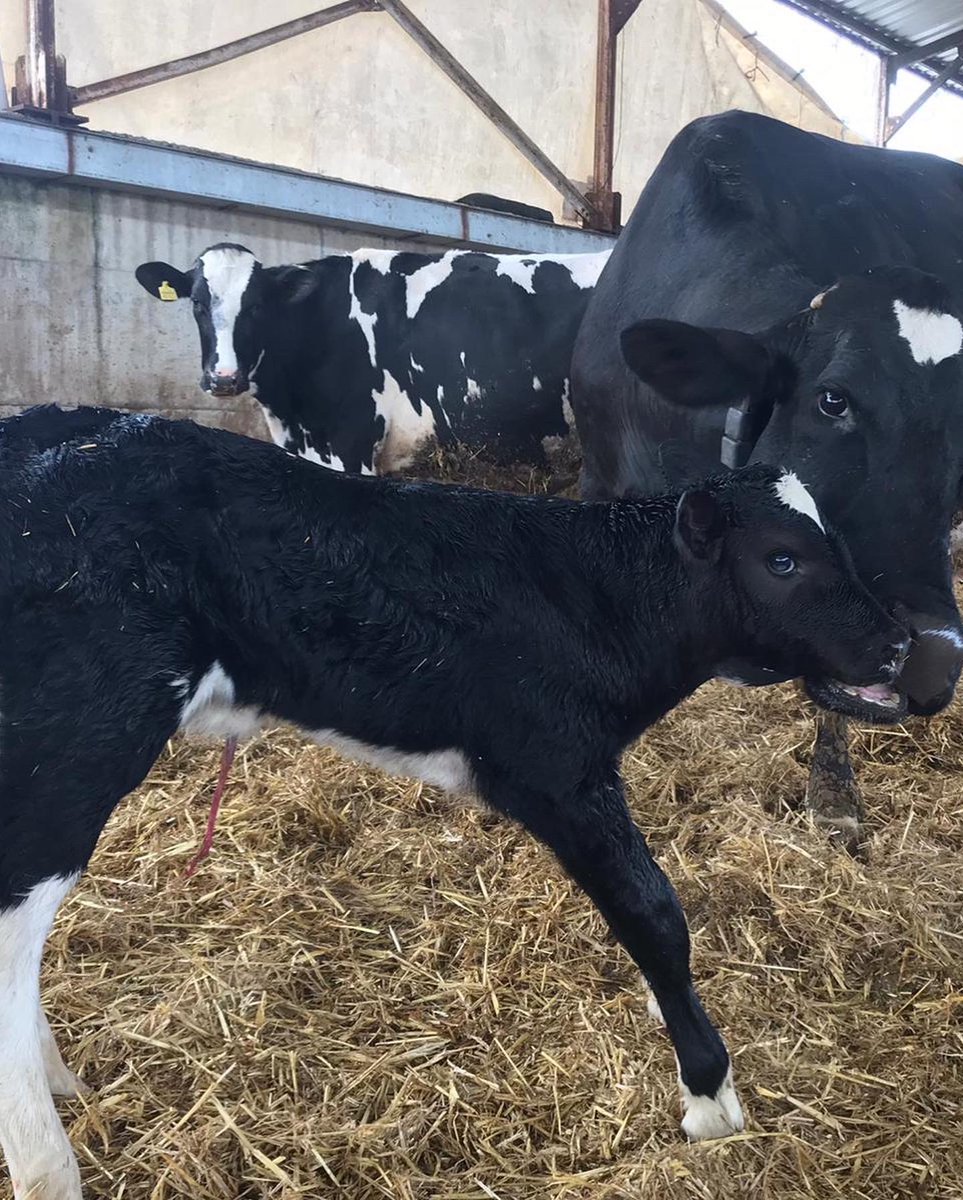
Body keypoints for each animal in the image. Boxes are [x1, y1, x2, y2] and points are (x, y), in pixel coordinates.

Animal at [0, 405, 907, 1197]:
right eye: (782, 559)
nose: (900, 643)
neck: (595, 601)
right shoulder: (557, 770)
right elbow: (653, 914)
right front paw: (710, 1099)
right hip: (72, 750)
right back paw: (50, 1164)